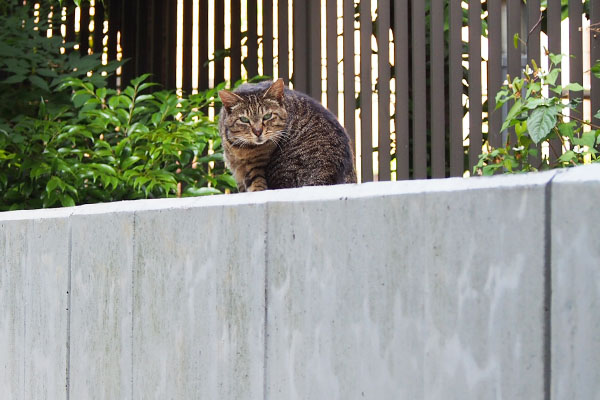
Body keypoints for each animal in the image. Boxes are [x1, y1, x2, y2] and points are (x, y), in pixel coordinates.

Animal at [217, 79, 354, 191]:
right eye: (244, 119)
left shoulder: (257, 169)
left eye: (267, 116)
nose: (258, 131)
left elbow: (257, 187)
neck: (240, 148)